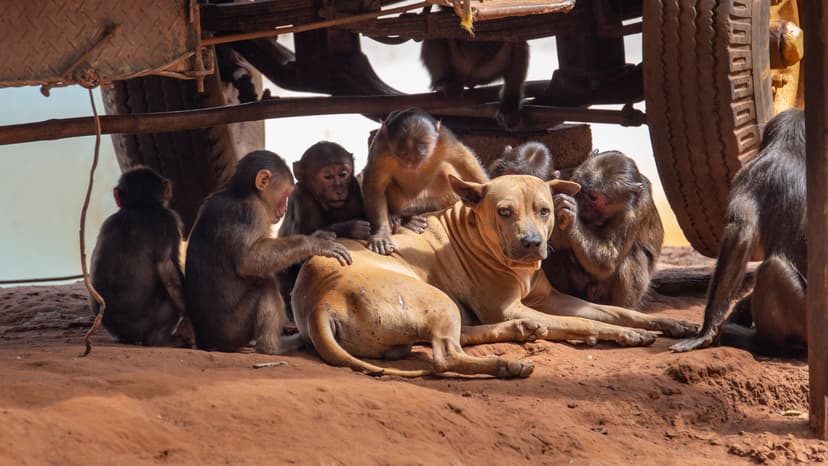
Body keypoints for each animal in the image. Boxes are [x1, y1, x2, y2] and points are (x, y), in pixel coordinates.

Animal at [89, 167, 192, 347]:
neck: (140, 205)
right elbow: (167, 267)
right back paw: (162, 339)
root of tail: (127, 336)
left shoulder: (108, 222)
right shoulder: (169, 220)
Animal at [184, 150, 352, 354]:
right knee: (265, 285)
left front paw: (319, 235)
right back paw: (272, 346)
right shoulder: (251, 212)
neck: (242, 193)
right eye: (285, 194)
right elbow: (250, 260)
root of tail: (208, 343)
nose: (284, 209)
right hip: (235, 330)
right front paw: (315, 243)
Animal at [361, 108, 489, 255]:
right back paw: (402, 218)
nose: (410, 164)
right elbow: (375, 185)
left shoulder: (444, 139)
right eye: (402, 154)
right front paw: (381, 233)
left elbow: (464, 161)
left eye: (419, 155)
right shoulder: (381, 147)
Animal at [543, 150, 664, 309]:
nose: (581, 204)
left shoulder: (631, 214)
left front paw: (570, 214)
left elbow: (608, 261)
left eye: (593, 197)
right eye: (582, 190)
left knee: (633, 255)